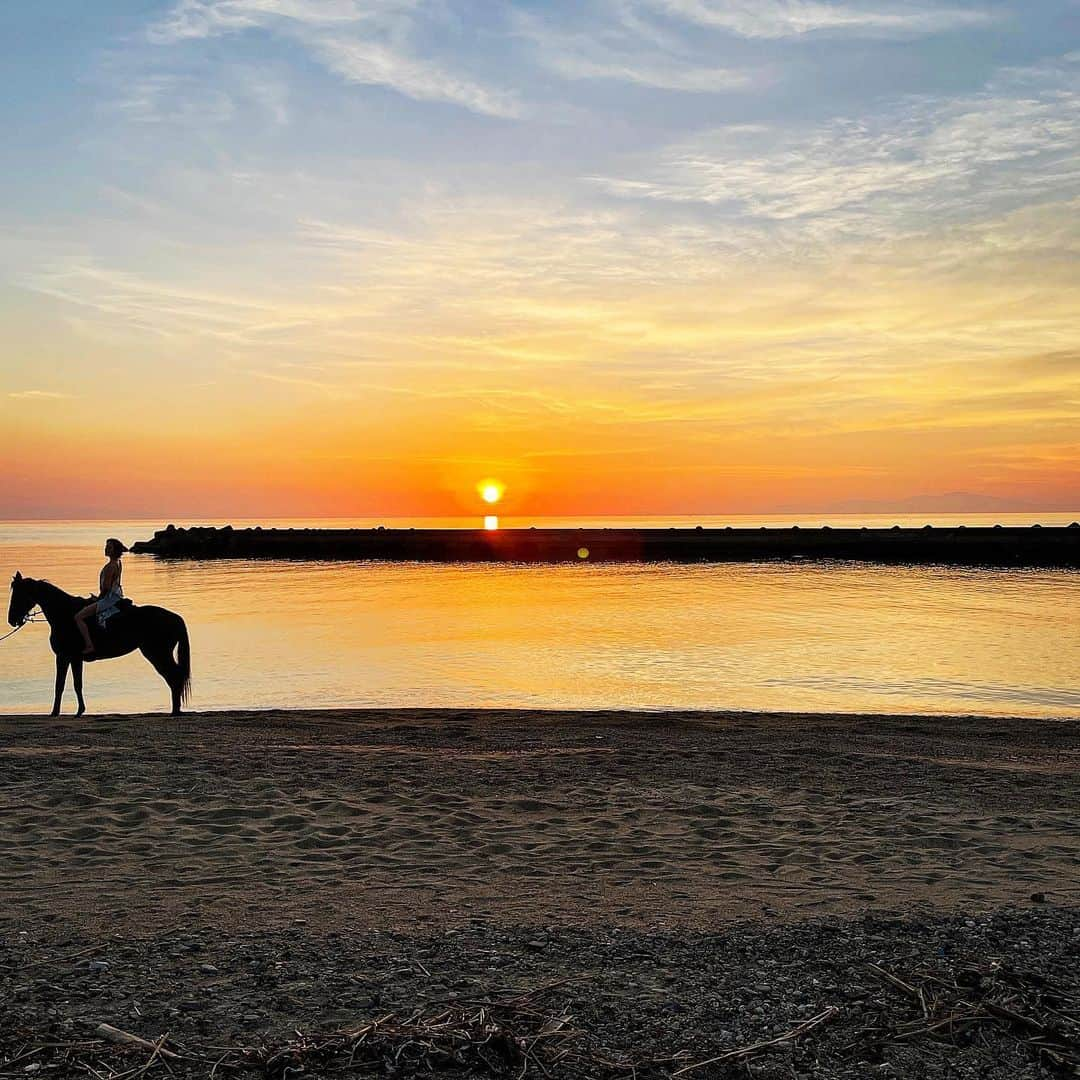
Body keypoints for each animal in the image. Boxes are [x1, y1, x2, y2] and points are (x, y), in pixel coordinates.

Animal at [7, 574, 193, 717]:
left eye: (19, 595)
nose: (11, 620)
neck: (64, 614)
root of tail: (175, 618)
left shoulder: (67, 656)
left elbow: (66, 684)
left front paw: (62, 712)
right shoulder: (71, 658)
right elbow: (69, 684)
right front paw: (72, 711)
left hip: (157, 653)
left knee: (174, 676)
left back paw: (175, 711)